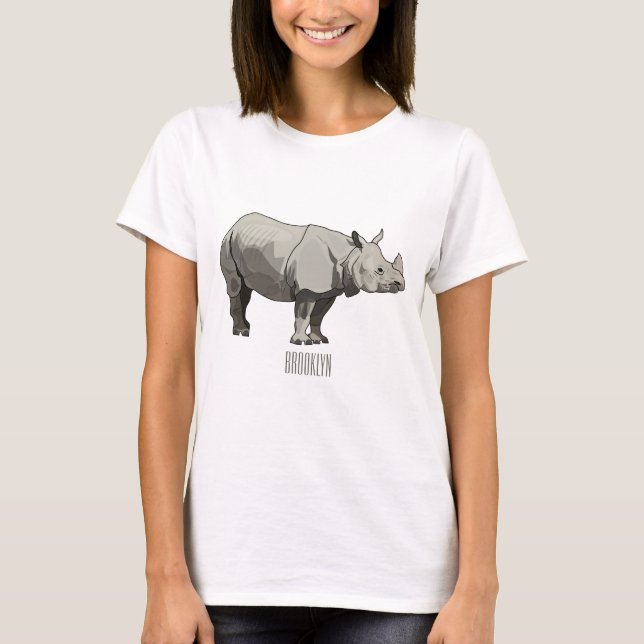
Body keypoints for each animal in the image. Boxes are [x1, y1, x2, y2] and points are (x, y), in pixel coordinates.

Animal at [220, 212, 405, 345]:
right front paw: (301, 342)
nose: (401, 284)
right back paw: (242, 332)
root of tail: (235, 225)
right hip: (227, 243)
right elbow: (304, 315)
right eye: (380, 270)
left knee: (246, 289)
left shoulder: (330, 290)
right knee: (235, 286)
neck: (349, 255)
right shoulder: (307, 289)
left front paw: (319, 340)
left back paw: (246, 327)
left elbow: (318, 316)